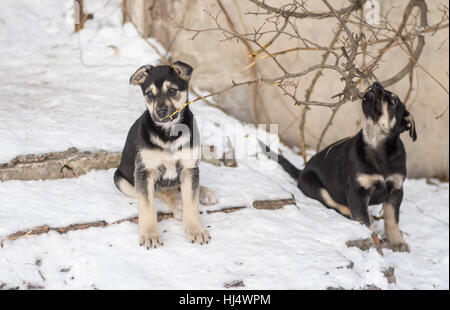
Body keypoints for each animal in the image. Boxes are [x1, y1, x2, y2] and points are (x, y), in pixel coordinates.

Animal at [113, 61, 217, 249]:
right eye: (149, 94)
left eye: (172, 91)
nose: (161, 112)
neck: (169, 133)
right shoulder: (144, 172)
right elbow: (147, 207)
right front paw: (150, 235)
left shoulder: (189, 167)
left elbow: (192, 202)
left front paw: (196, 230)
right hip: (122, 181)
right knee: (163, 191)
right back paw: (177, 205)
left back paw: (204, 192)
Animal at [262, 81, 416, 252]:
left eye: (394, 101)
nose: (375, 84)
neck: (377, 145)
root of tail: (301, 172)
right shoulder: (357, 191)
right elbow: (363, 220)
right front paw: (368, 239)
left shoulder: (396, 190)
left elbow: (392, 219)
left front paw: (397, 242)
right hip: (317, 188)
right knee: (339, 206)